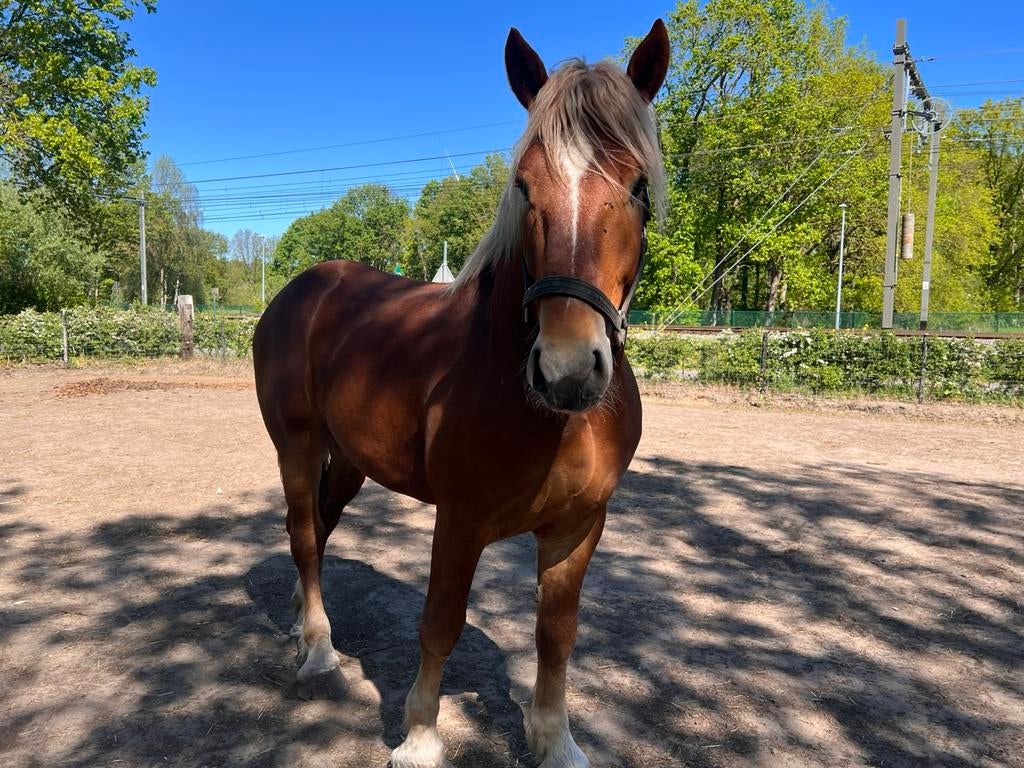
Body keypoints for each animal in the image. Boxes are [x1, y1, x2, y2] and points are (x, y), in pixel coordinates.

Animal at [253, 20, 669, 768]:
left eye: (637, 186)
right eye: (525, 186)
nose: (567, 369)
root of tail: (300, 290)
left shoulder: (578, 526)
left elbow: (556, 634)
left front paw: (555, 738)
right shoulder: (461, 520)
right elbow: (440, 623)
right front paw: (419, 736)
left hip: (349, 460)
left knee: (320, 535)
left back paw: (304, 626)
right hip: (295, 447)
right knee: (302, 536)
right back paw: (320, 651)